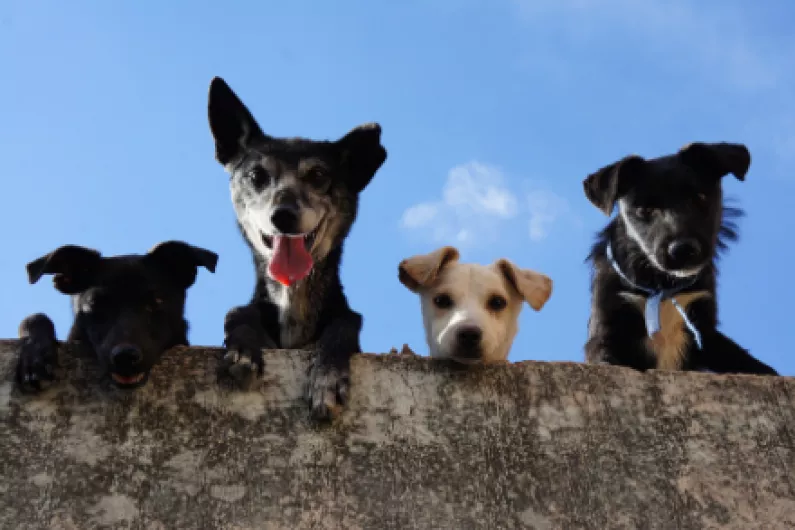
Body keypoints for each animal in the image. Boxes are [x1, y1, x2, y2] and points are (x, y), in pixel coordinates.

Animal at [208, 76, 388, 418]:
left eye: (318, 175)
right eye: (257, 175)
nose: (283, 215)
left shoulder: (345, 322)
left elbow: (344, 325)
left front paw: (327, 378)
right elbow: (237, 312)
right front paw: (243, 350)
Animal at [584, 138, 776, 374]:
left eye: (699, 198)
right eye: (645, 210)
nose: (683, 249)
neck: (662, 287)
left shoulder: (704, 331)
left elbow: (747, 362)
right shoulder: (607, 324)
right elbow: (605, 356)